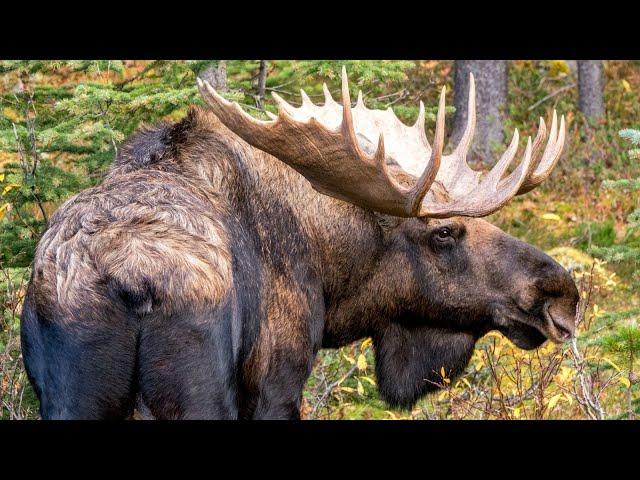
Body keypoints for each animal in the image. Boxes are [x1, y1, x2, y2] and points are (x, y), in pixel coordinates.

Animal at [20, 68, 580, 420]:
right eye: (444, 232)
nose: (562, 295)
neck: (331, 277)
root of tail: (130, 281)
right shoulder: (278, 380)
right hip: (197, 391)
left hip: (74, 395)